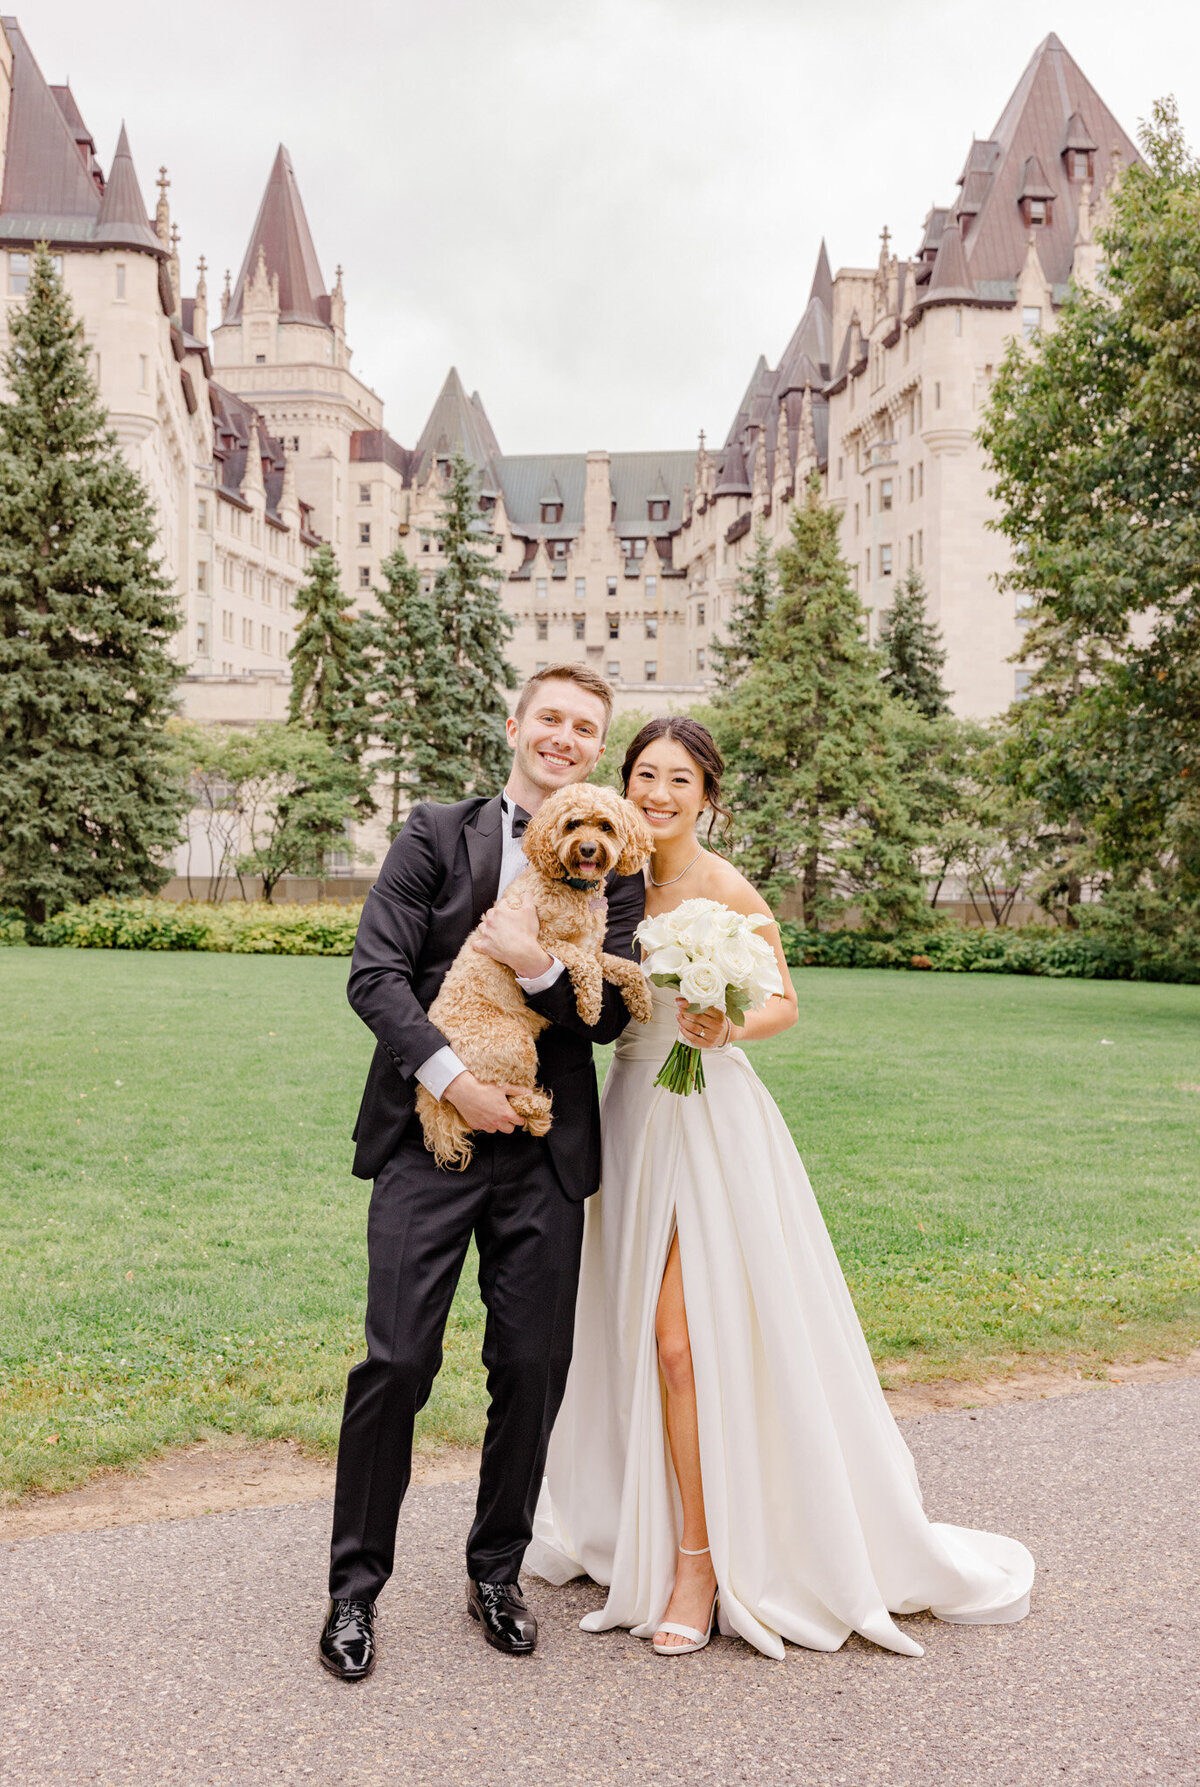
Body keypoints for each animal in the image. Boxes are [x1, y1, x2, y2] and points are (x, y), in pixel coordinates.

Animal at [414, 786, 657, 1172]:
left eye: (605, 826)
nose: (588, 848)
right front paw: (590, 1007)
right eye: (573, 824)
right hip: (512, 1043)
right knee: (506, 1103)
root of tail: (430, 1095)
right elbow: (582, 966)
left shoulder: (594, 949)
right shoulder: (540, 942)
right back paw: (537, 1105)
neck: (571, 887)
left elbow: (625, 967)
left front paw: (641, 1002)